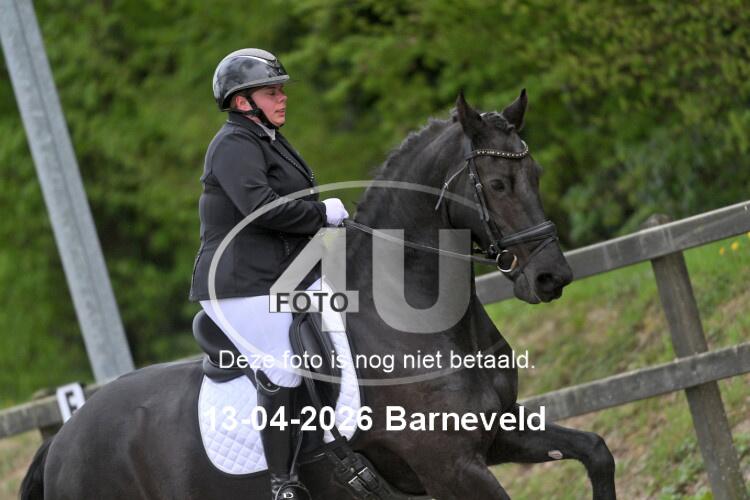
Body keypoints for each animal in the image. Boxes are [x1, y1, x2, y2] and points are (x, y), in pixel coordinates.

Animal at [20, 91, 616, 499]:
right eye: (495, 185)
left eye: (536, 173)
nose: (551, 277)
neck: (420, 324)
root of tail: (63, 437)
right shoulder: (451, 466)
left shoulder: (497, 437)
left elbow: (597, 452)